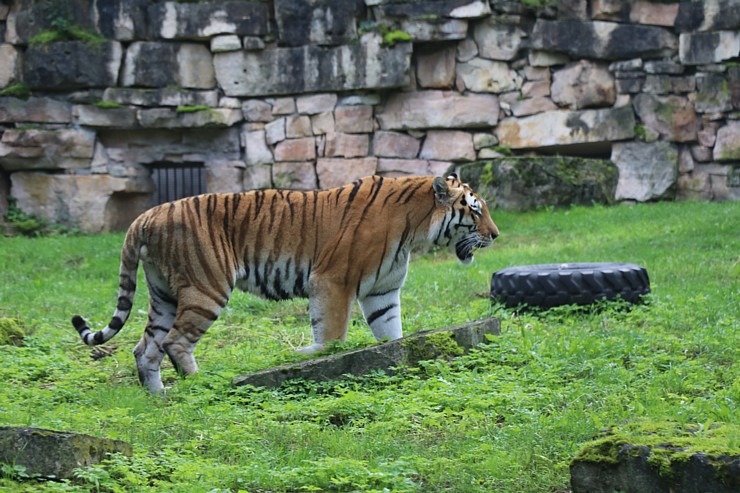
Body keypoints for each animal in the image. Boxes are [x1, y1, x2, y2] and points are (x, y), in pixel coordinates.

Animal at [72, 174, 500, 392]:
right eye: (475, 211)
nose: (495, 235)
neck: (414, 230)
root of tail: (144, 217)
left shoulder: (383, 293)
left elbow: (391, 335)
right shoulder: (333, 280)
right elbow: (332, 335)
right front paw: (309, 355)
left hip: (164, 295)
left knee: (145, 348)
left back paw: (159, 395)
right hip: (206, 288)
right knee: (174, 342)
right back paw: (199, 384)